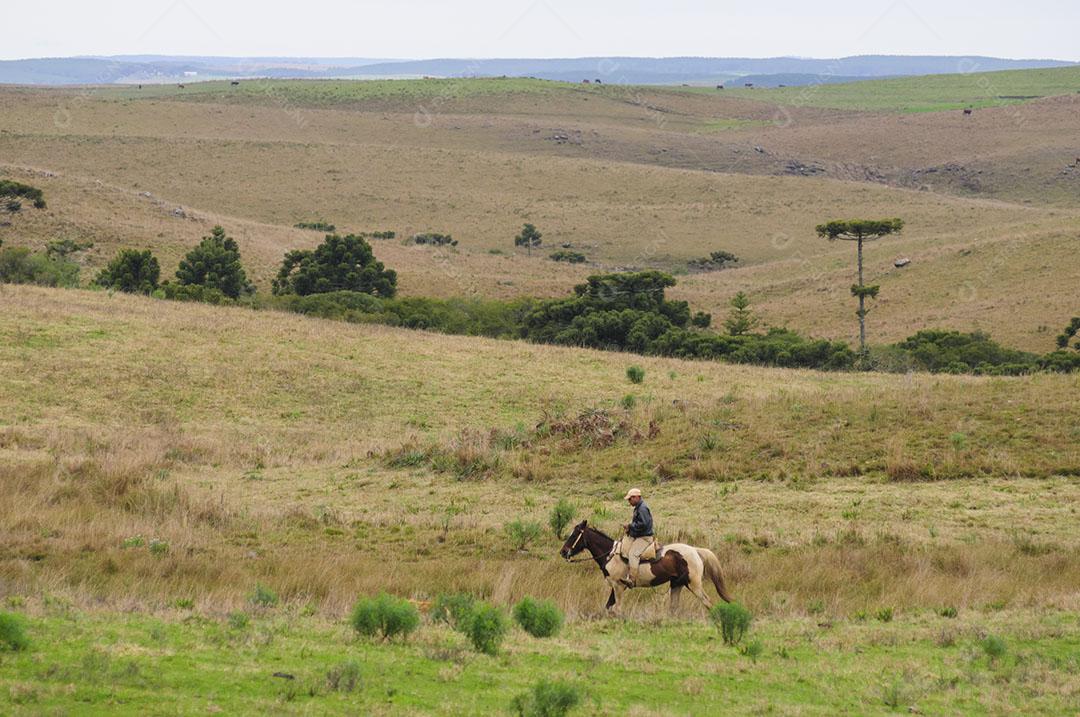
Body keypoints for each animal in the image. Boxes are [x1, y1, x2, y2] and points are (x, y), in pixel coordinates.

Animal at [561, 520, 730, 617]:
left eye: (575, 534)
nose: (563, 552)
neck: (610, 554)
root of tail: (695, 550)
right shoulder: (615, 587)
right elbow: (608, 607)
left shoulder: (618, 586)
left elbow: (617, 609)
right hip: (677, 584)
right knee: (674, 607)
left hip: (693, 584)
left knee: (707, 602)